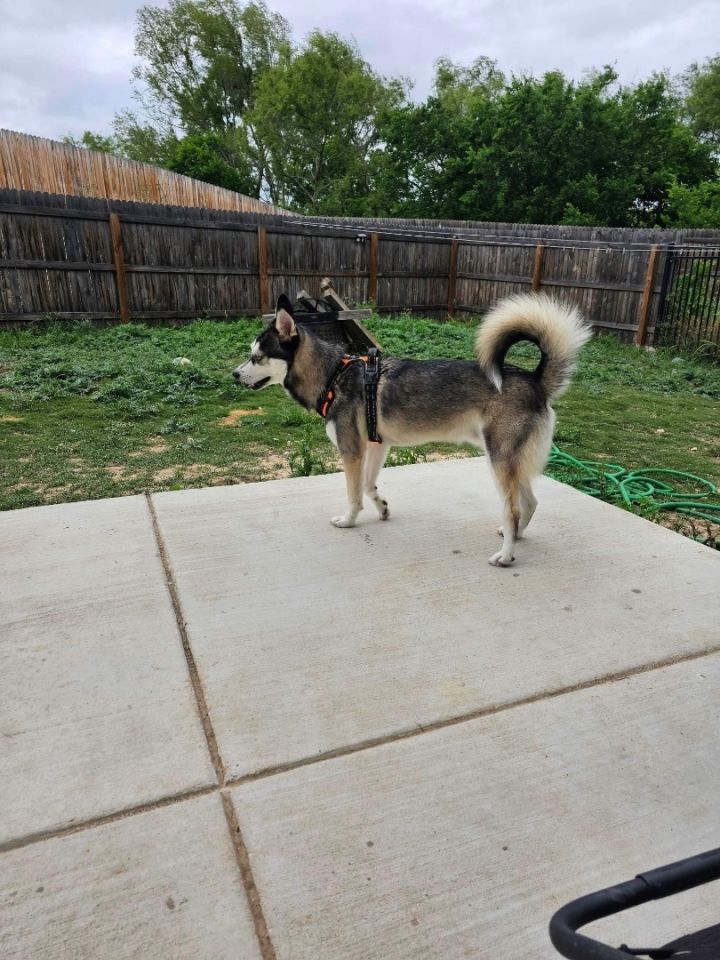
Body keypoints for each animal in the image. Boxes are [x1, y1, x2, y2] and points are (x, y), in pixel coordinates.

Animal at [236, 292, 592, 564]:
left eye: (257, 356)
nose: (233, 375)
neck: (333, 375)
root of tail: (535, 380)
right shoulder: (377, 446)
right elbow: (369, 486)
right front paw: (381, 508)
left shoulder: (351, 452)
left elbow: (353, 494)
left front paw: (349, 521)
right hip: (514, 463)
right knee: (530, 503)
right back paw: (513, 537)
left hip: (499, 462)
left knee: (514, 509)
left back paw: (505, 555)